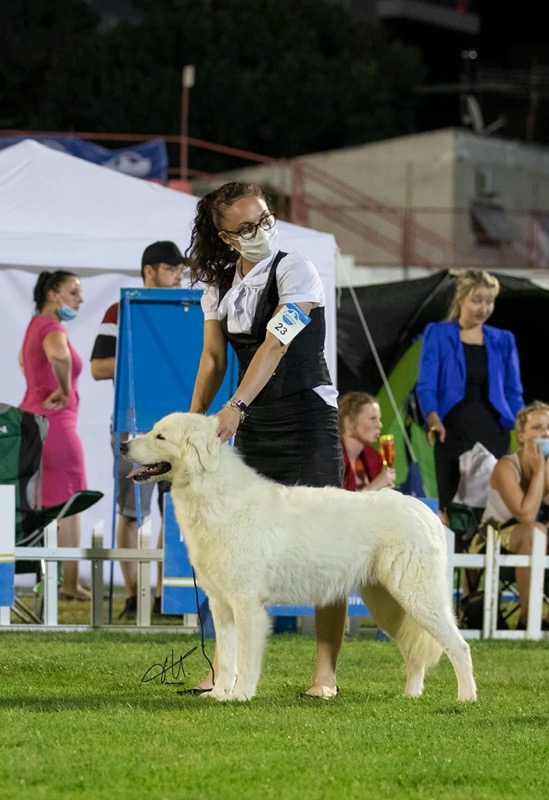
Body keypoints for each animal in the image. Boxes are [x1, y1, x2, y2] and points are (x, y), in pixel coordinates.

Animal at [122, 412, 476, 703]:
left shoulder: (247, 605)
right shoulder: (221, 605)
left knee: (459, 646)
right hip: (389, 604)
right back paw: (410, 697)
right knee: (414, 653)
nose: (123, 446)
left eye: (160, 436)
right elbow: (227, 658)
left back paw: (466, 699)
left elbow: (245, 659)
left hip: (418, 597)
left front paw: (240, 696)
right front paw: (219, 694)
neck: (214, 495)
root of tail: (427, 513)